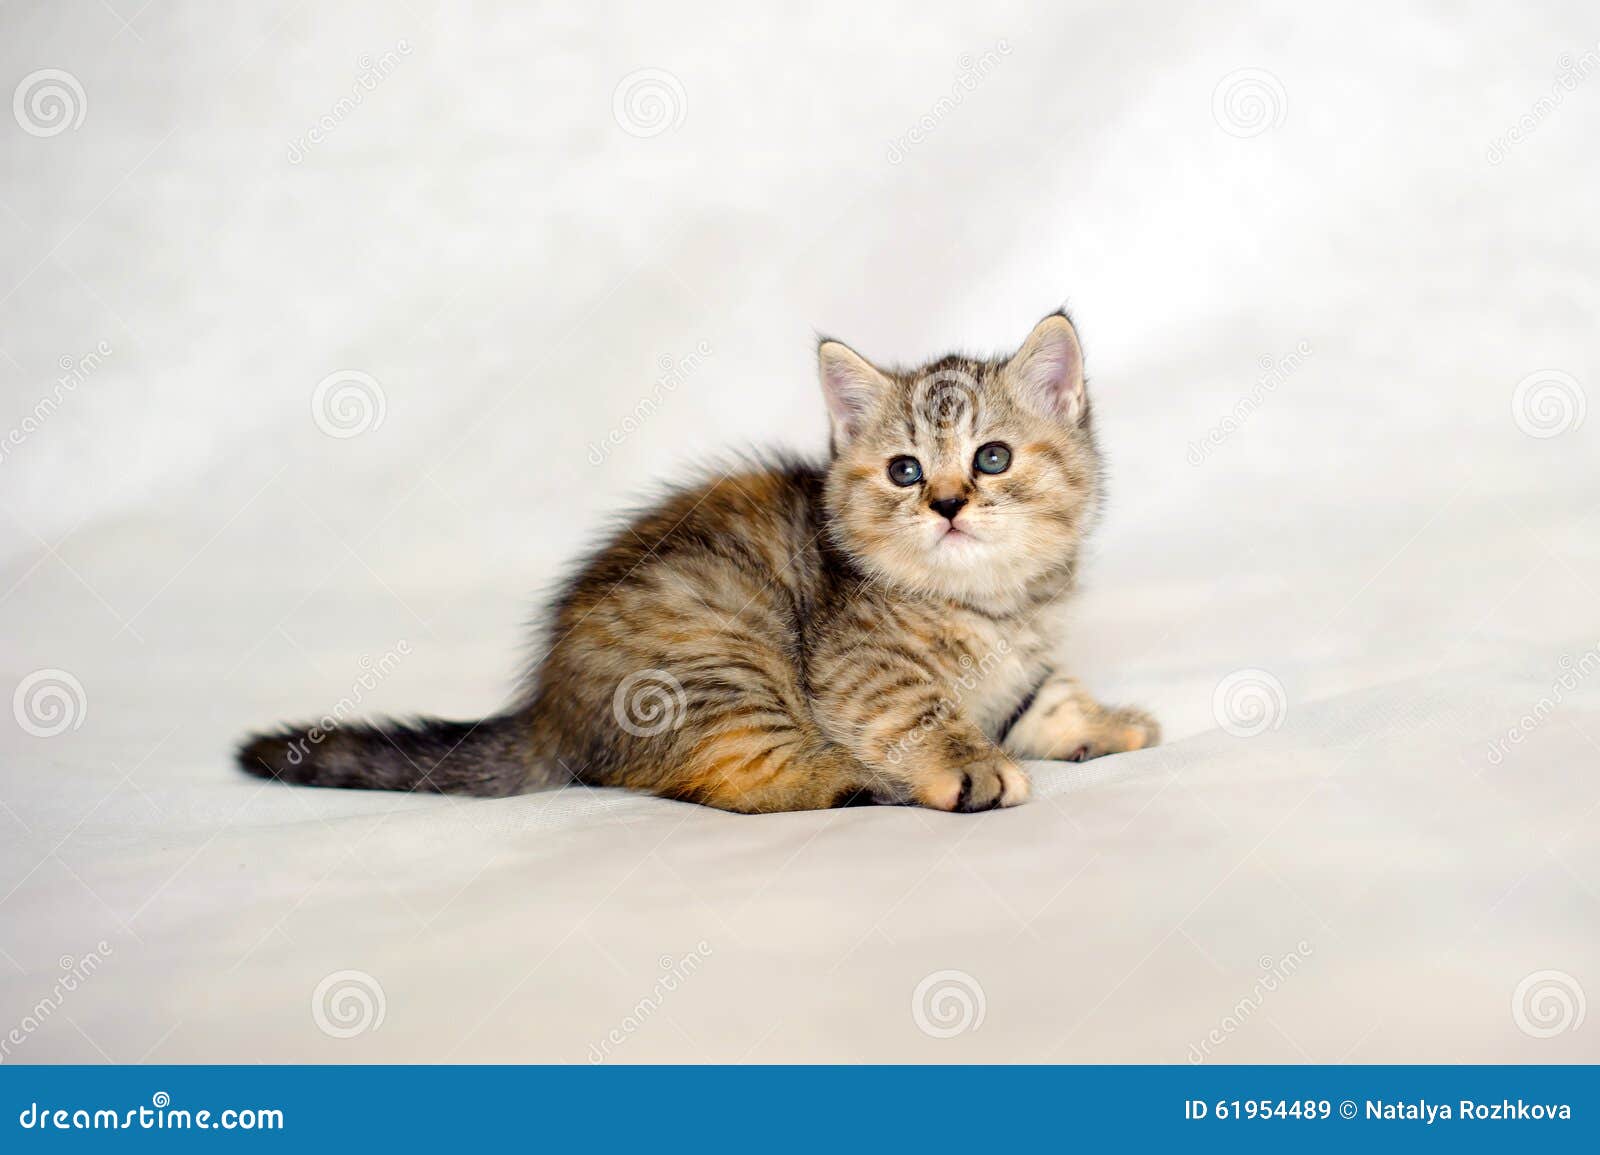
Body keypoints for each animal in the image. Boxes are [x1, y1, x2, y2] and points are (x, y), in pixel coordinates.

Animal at [236, 308, 1158, 809]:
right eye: (905, 470)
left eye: (992, 457)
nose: (947, 502)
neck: (993, 603)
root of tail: (547, 708)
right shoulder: (858, 666)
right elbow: (920, 711)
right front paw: (969, 762)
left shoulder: (1027, 661)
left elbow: (1046, 695)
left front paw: (1102, 721)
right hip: (719, 652)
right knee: (754, 774)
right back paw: (876, 781)